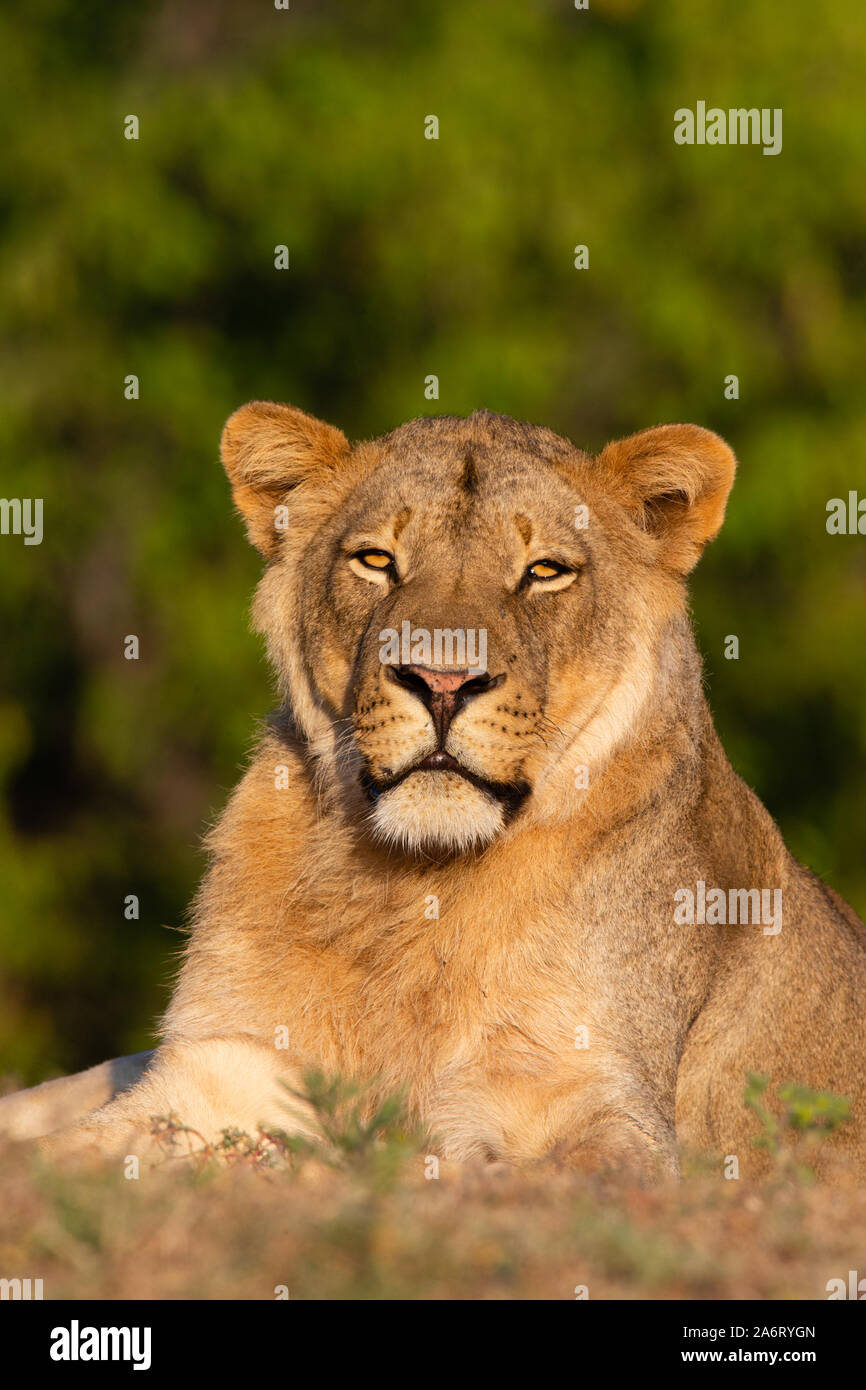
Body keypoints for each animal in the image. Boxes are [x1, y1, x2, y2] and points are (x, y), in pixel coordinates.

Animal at [2, 403, 864, 1179]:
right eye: (377, 560)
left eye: (544, 572)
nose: (442, 681)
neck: (414, 893)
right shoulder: (223, 1067)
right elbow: (76, 1151)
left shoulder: (597, 1098)